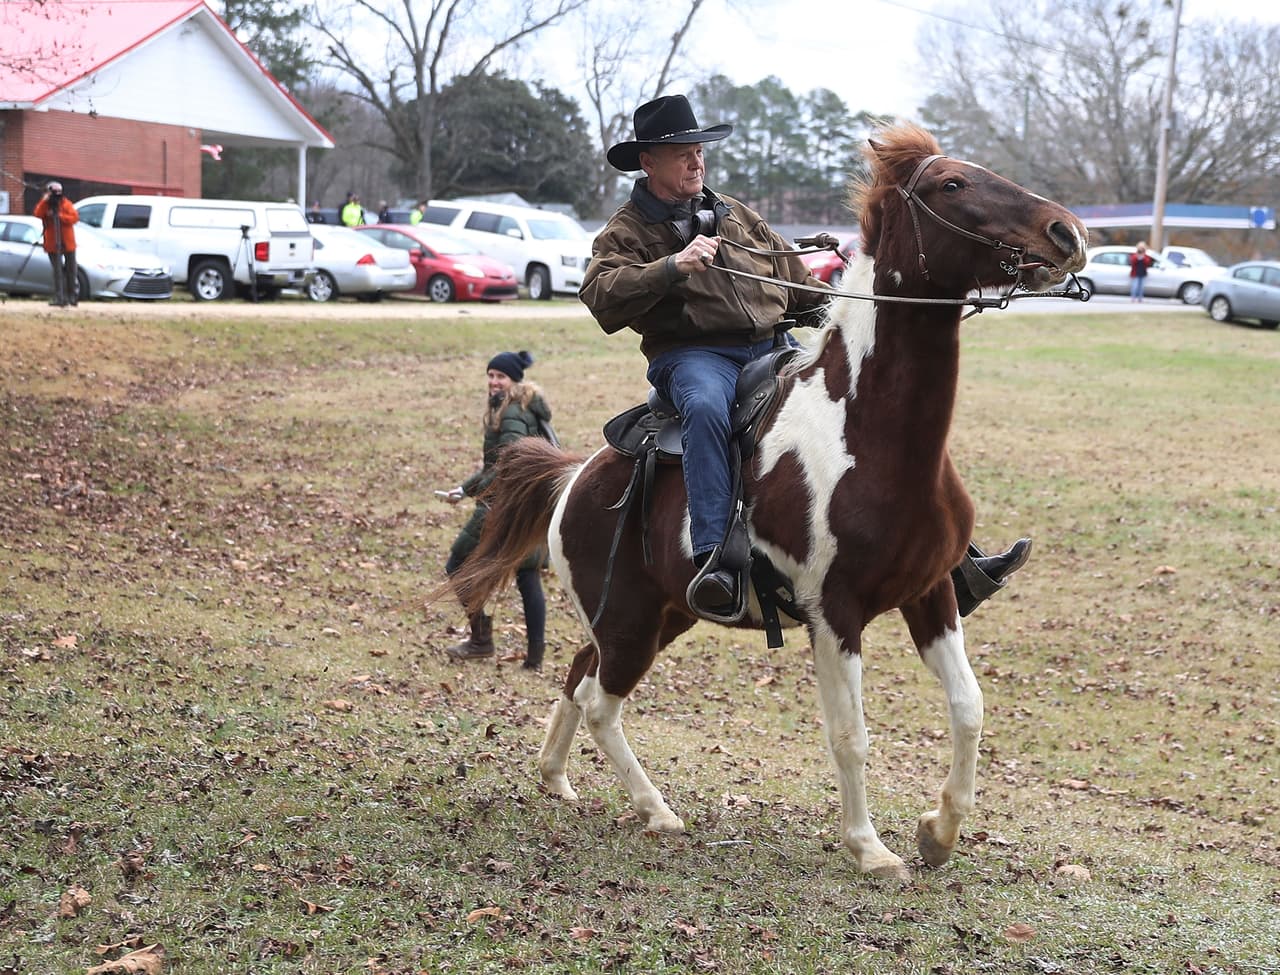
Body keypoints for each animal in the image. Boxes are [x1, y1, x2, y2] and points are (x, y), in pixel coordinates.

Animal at [446, 123, 1088, 881]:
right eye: (951, 184)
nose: (1067, 231)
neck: (870, 432)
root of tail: (575, 477)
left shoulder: (932, 595)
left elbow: (969, 708)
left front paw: (939, 830)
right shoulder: (834, 613)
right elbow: (850, 734)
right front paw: (870, 847)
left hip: (660, 615)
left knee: (579, 675)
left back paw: (555, 776)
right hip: (631, 624)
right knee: (602, 701)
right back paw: (657, 810)